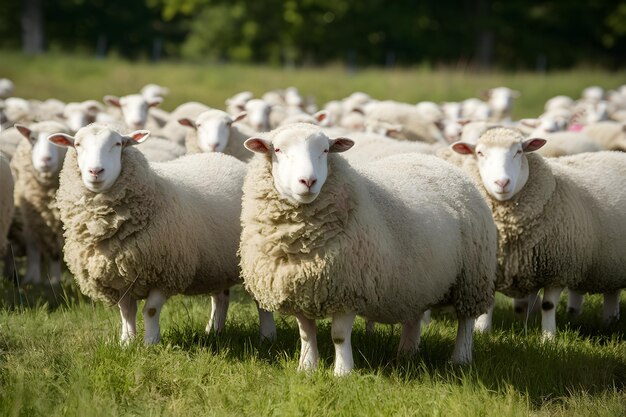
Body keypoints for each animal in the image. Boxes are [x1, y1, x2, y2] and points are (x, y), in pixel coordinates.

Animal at [10, 120, 70, 282]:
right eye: (33, 138)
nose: (45, 159)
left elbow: (56, 254)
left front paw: (55, 281)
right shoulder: (30, 219)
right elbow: (33, 251)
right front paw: (32, 279)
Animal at [47, 123, 274, 344]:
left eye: (118, 144)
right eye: (77, 144)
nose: (95, 171)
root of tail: (226, 158)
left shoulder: (166, 272)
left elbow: (150, 310)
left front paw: (150, 342)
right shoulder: (118, 277)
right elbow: (126, 312)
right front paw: (126, 343)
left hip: (252, 259)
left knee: (260, 300)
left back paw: (266, 337)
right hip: (216, 260)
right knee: (221, 296)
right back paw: (214, 331)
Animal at [236, 122, 494, 372]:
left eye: (326, 150)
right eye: (278, 150)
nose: (308, 181)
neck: (300, 243)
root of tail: (438, 162)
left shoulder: (348, 288)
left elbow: (339, 336)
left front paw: (343, 372)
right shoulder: (298, 286)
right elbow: (306, 334)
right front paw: (306, 368)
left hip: (472, 275)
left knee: (465, 321)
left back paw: (460, 359)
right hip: (416, 279)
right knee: (414, 316)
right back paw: (407, 353)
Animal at [450, 127, 624, 334]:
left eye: (519, 151)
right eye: (479, 153)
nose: (502, 183)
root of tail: (615, 153)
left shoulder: (558, 269)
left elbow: (548, 305)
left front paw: (548, 336)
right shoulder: (491, 267)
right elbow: (490, 304)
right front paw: (482, 331)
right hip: (612, 264)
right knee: (612, 292)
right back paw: (609, 322)